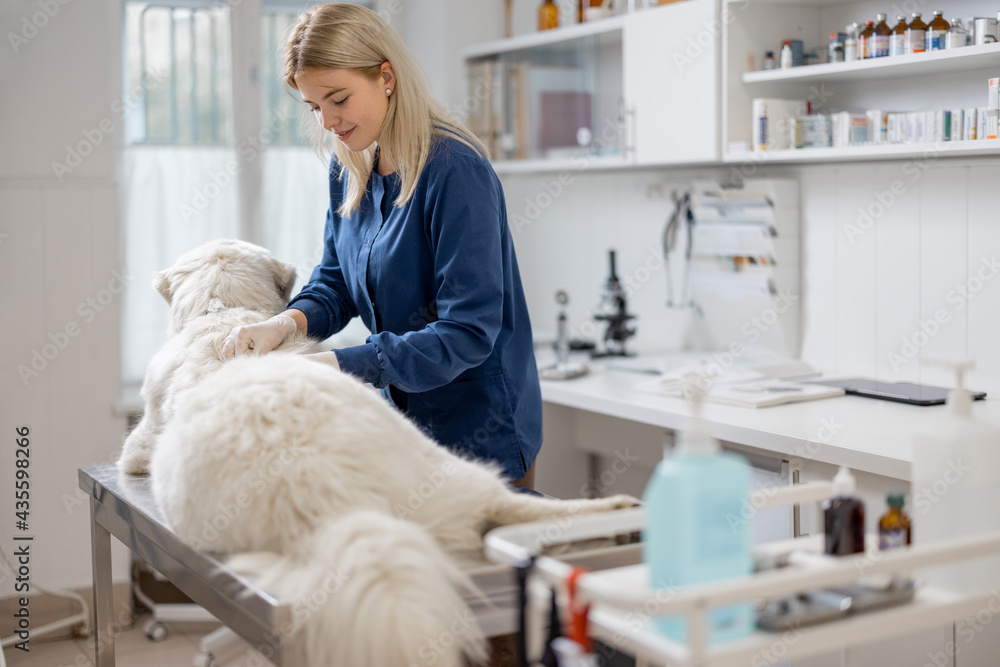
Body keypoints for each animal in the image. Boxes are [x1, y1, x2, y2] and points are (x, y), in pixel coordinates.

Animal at [121, 240, 636, 667]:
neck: (226, 310)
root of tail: (337, 498)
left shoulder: (140, 442)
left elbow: (132, 451)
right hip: (442, 469)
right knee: (505, 504)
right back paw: (614, 509)